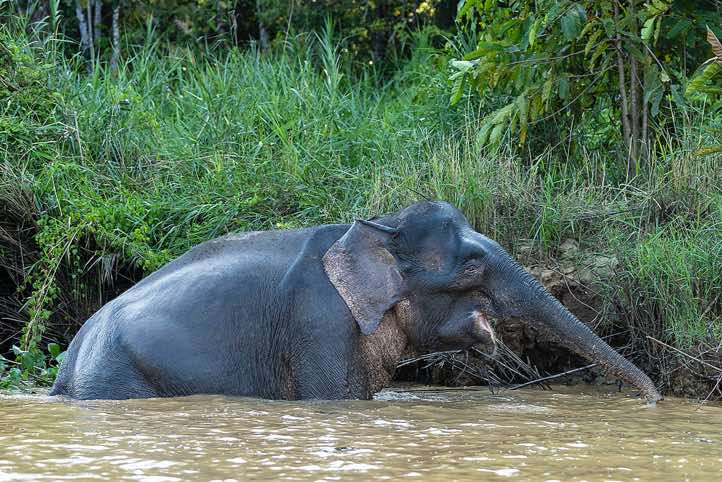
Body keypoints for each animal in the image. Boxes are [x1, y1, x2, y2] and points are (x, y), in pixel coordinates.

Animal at [50, 201, 662, 402]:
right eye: (469, 266)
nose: (652, 398)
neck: (375, 225)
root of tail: (69, 357)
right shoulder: (319, 325)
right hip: (119, 376)